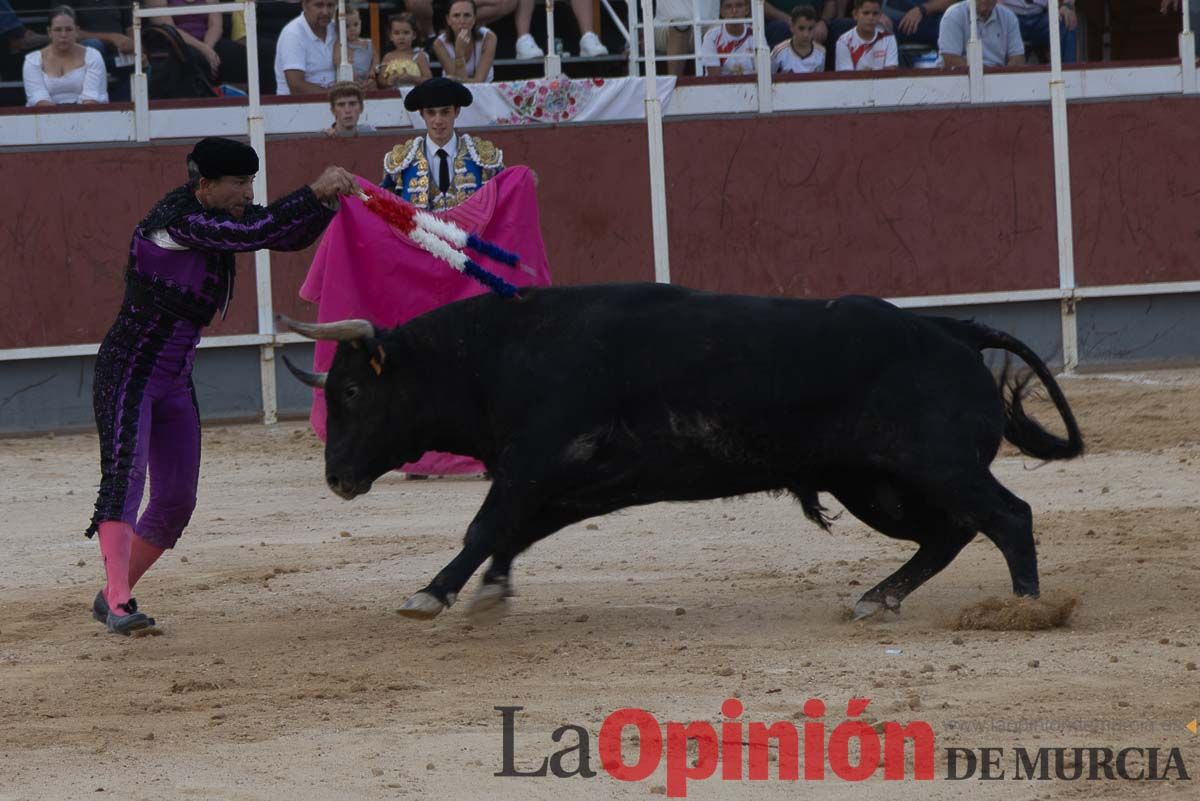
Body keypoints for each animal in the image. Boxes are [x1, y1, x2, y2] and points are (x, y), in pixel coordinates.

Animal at [278, 284, 1080, 623]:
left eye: (351, 389)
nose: (337, 477)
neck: (500, 353)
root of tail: (954, 330)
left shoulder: (534, 459)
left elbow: (486, 524)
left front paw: (431, 593)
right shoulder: (589, 478)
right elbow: (516, 530)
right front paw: (491, 588)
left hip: (935, 466)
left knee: (1007, 515)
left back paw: (1026, 609)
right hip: (875, 486)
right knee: (950, 532)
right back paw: (879, 596)